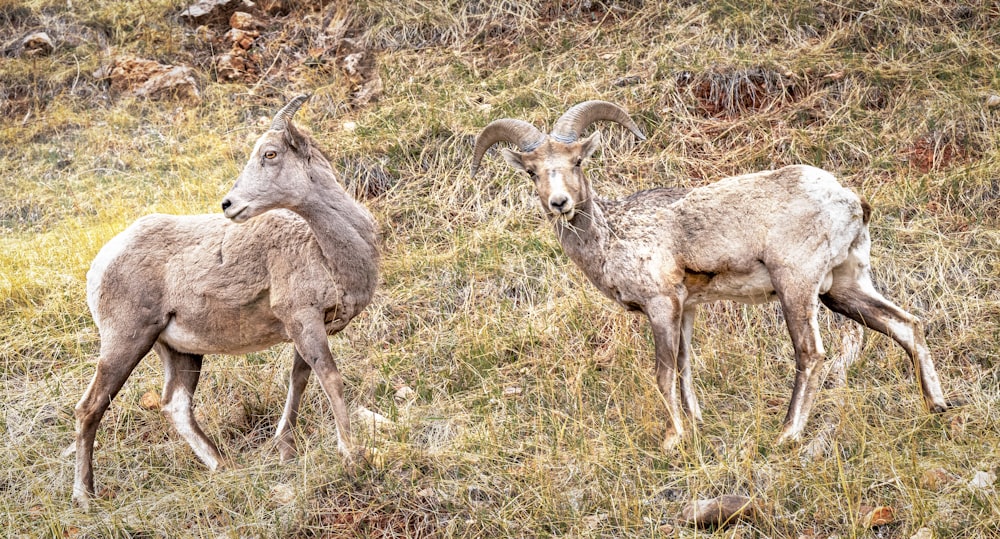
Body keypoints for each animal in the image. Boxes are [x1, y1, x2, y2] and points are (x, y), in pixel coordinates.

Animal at [70, 95, 376, 508]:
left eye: (270, 154)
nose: (229, 204)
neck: (328, 249)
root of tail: (100, 263)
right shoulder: (304, 321)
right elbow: (331, 379)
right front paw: (352, 455)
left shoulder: (309, 329)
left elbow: (299, 381)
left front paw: (286, 451)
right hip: (126, 342)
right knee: (91, 408)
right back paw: (86, 497)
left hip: (180, 351)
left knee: (176, 406)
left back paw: (223, 466)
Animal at [472, 100, 948, 452]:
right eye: (532, 171)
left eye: (575, 162)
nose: (559, 203)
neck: (614, 236)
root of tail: (849, 199)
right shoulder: (686, 311)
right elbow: (685, 368)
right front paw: (696, 423)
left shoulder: (662, 306)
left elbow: (663, 372)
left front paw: (673, 438)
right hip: (844, 287)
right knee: (907, 325)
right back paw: (937, 405)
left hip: (797, 287)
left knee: (811, 354)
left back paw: (787, 434)